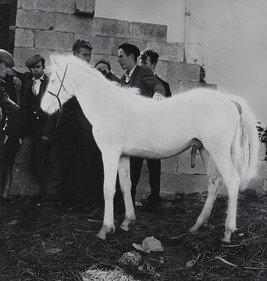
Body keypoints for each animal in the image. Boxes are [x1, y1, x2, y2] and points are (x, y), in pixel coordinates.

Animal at [41, 54, 260, 241]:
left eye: (53, 81)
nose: (44, 108)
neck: (108, 106)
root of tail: (229, 101)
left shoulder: (110, 153)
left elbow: (108, 189)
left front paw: (105, 228)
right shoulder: (122, 156)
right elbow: (126, 185)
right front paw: (127, 221)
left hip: (219, 152)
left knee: (232, 182)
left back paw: (228, 232)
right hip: (206, 151)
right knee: (214, 183)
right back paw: (198, 225)